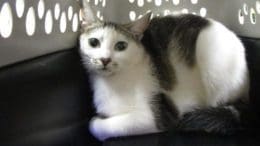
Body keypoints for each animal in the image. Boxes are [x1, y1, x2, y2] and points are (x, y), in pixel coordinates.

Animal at [79, 0, 250, 141]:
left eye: (121, 46)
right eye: (93, 42)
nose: (105, 59)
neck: (114, 82)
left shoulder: (156, 117)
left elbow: (95, 125)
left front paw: (95, 120)